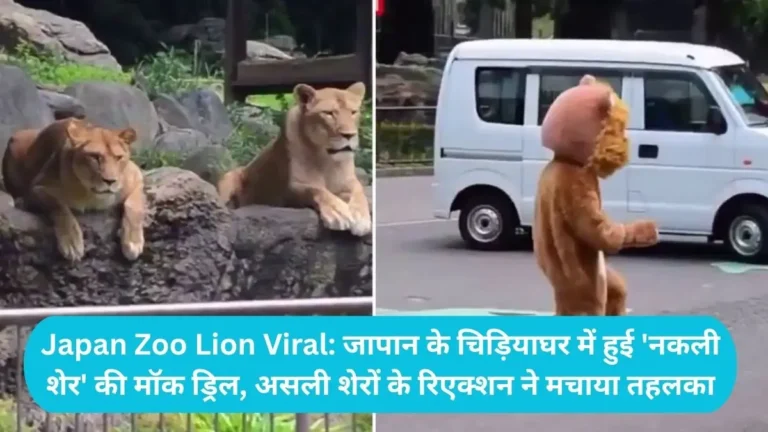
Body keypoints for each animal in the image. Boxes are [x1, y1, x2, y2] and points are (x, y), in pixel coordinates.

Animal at [2, 118, 146, 263]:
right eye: (95, 157)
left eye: (118, 158)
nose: (110, 181)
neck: (92, 195)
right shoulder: (37, 187)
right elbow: (59, 206)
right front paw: (71, 243)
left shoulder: (137, 177)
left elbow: (133, 206)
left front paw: (133, 243)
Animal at [217, 82, 371, 237]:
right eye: (329, 113)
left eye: (353, 112)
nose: (349, 135)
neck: (326, 159)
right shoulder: (289, 190)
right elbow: (316, 190)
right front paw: (338, 213)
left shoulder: (349, 181)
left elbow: (359, 192)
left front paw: (361, 218)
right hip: (228, 178)